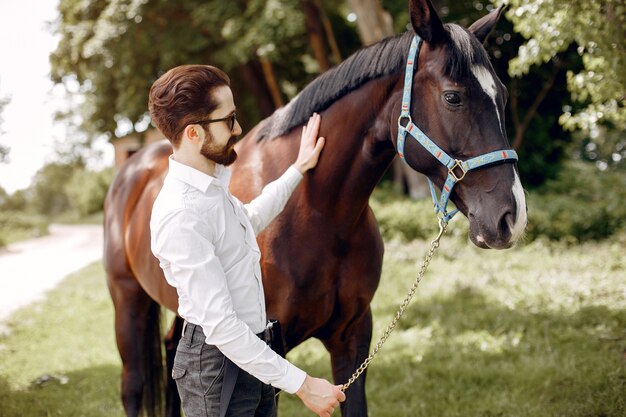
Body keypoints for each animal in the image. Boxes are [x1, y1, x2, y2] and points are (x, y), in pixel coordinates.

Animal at [103, 1, 528, 414]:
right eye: (453, 97)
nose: (512, 218)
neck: (320, 213)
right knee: (133, 386)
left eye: (504, 96)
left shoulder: (353, 337)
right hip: (128, 303)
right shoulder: (269, 353)